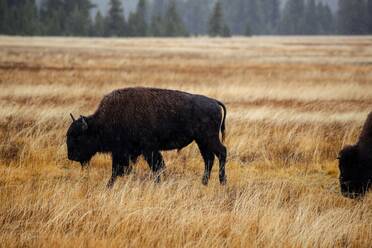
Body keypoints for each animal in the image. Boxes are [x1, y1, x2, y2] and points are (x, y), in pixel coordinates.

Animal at [66, 86, 227, 186]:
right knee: (209, 158)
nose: (71, 156)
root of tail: (214, 102)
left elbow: (155, 167)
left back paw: (222, 182)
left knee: (221, 153)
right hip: (201, 141)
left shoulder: (146, 150)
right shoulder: (126, 153)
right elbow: (119, 170)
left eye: (78, 137)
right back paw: (204, 182)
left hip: (209, 138)